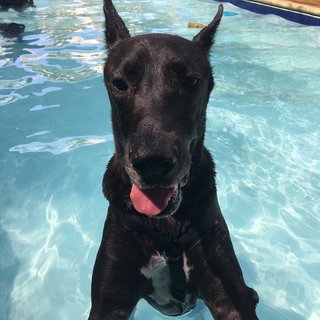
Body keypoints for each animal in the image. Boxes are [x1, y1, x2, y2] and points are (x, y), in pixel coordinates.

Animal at [89, 1, 258, 318]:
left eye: (191, 81)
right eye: (119, 83)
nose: (152, 162)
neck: (166, 229)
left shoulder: (225, 285)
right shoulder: (110, 296)